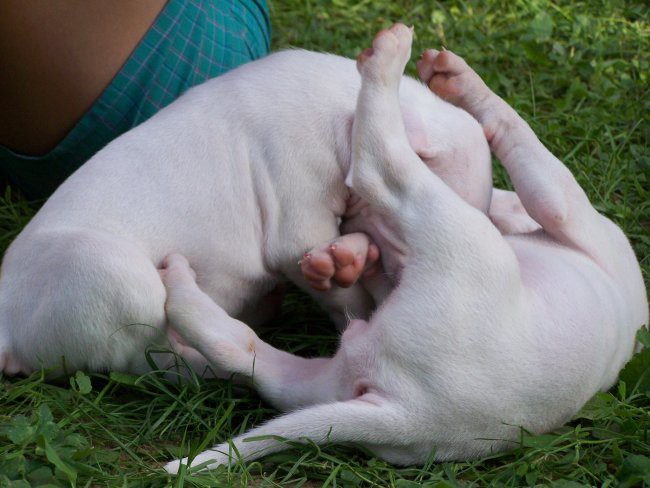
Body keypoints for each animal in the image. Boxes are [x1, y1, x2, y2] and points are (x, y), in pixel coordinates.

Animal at [161, 23, 644, 472]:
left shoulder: (562, 206)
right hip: (328, 383)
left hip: (454, 236)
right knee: (243, 352)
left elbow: (514, 126)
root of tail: (410, 417)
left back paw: (387, 58)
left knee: (379, 165)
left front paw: (461, 81)